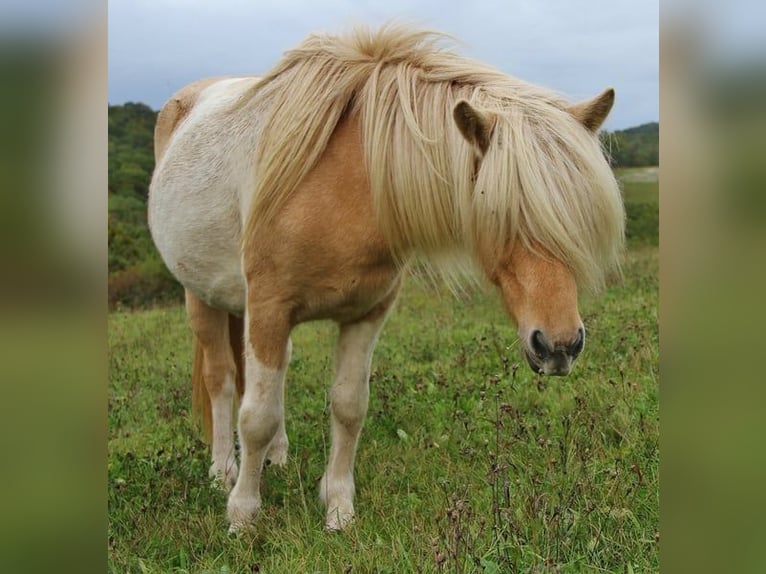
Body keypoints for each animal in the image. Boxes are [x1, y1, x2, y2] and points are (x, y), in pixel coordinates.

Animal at [148, 24, 624, 533]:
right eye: (499, 214)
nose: (559, 347)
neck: (342, 186)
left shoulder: (365, 315)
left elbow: (348, 407)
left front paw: (338, 509)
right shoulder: (269, 310)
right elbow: (255, 416)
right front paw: (242, 515)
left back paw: (277, 456)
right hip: (201, 298)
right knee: (222, 381)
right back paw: (223, 470)